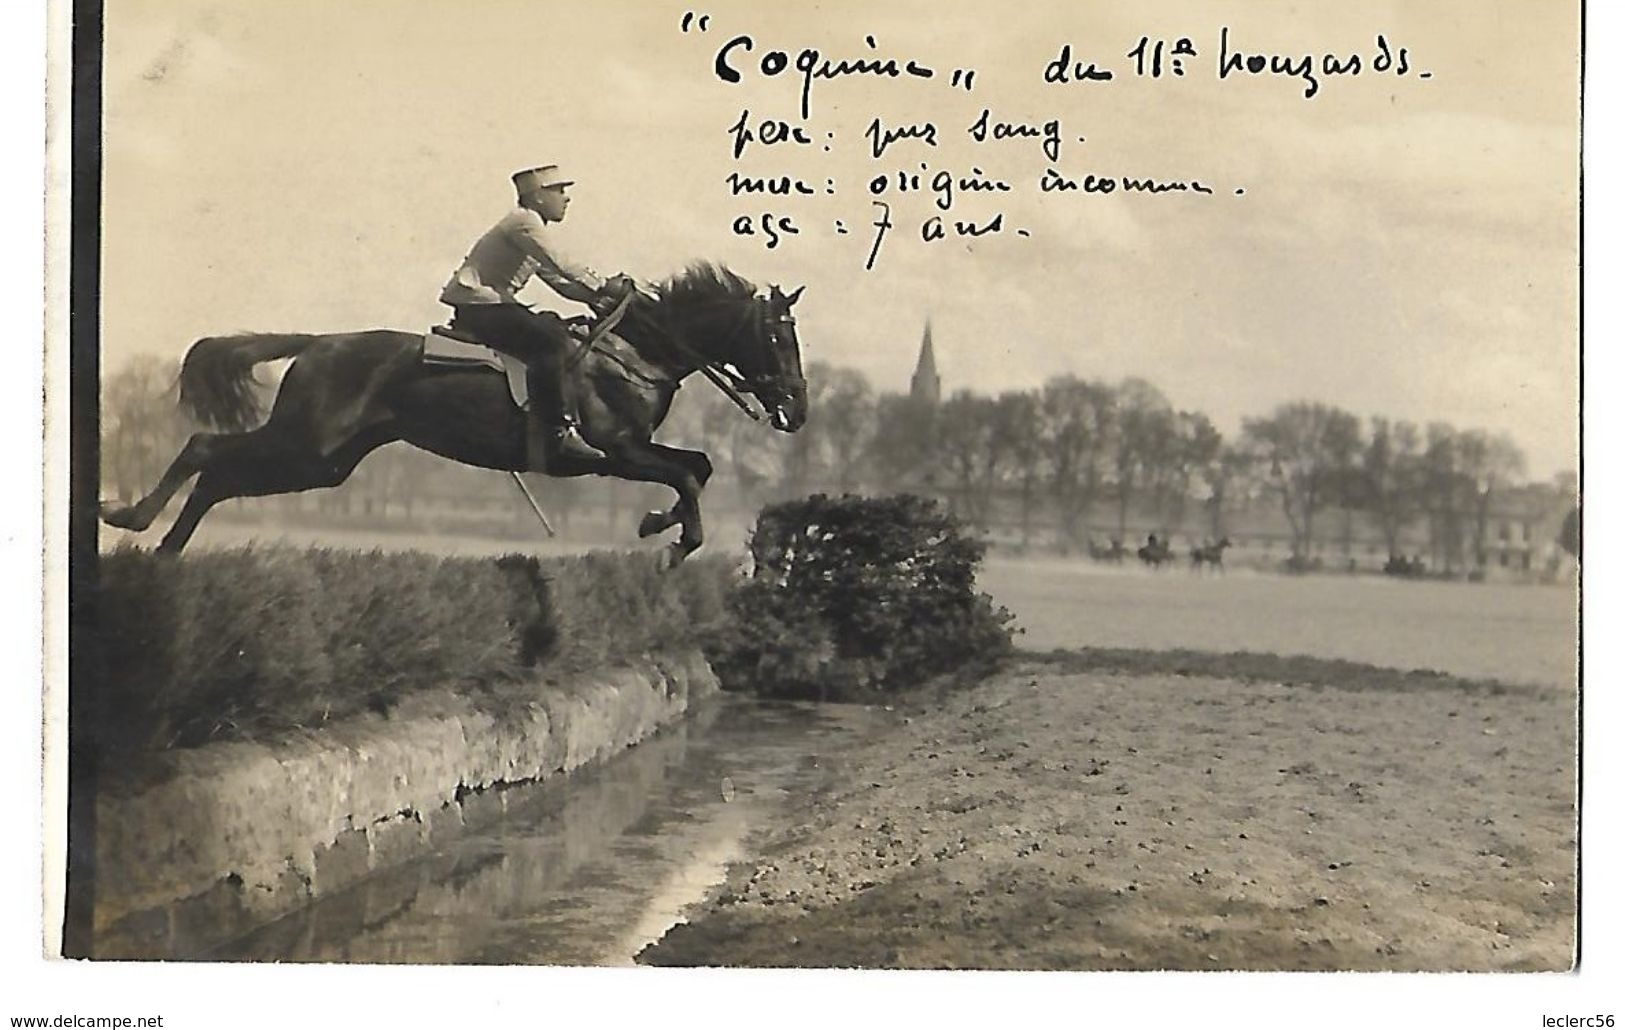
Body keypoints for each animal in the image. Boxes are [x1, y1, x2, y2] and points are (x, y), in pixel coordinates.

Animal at [98, 259, 809, 565]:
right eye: (778, 338)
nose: (797, 412)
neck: (639, 354)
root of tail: (320, 341)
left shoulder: (635, 453)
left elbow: (699, 468)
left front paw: (659, 523)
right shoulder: (618, 453)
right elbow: (688, 472)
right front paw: (675, 540)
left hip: (324, 463)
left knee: (219, 475)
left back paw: (164, 550)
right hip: (305, 442)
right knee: (206, 451)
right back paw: (129, 518)